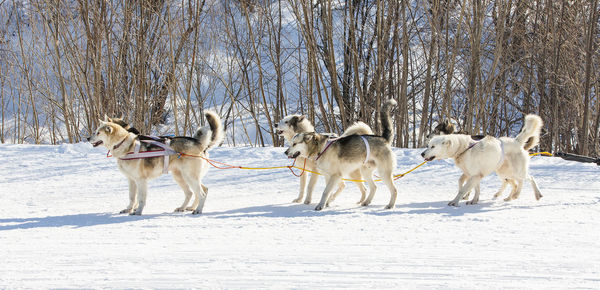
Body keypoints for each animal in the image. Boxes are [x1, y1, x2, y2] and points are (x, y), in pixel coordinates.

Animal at [86, 112, 223, 214]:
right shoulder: (131, 180)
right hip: (181, 177)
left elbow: (140, 199)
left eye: (98, 132)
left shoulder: (141, 181)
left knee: (201, 193)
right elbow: (132, 197)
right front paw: (129, 209)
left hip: (189, 177)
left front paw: (138, 211)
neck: (125, 144)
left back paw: (198, 210)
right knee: (193, 192)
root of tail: (199, 143)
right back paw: (184, 207)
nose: (87, 138)